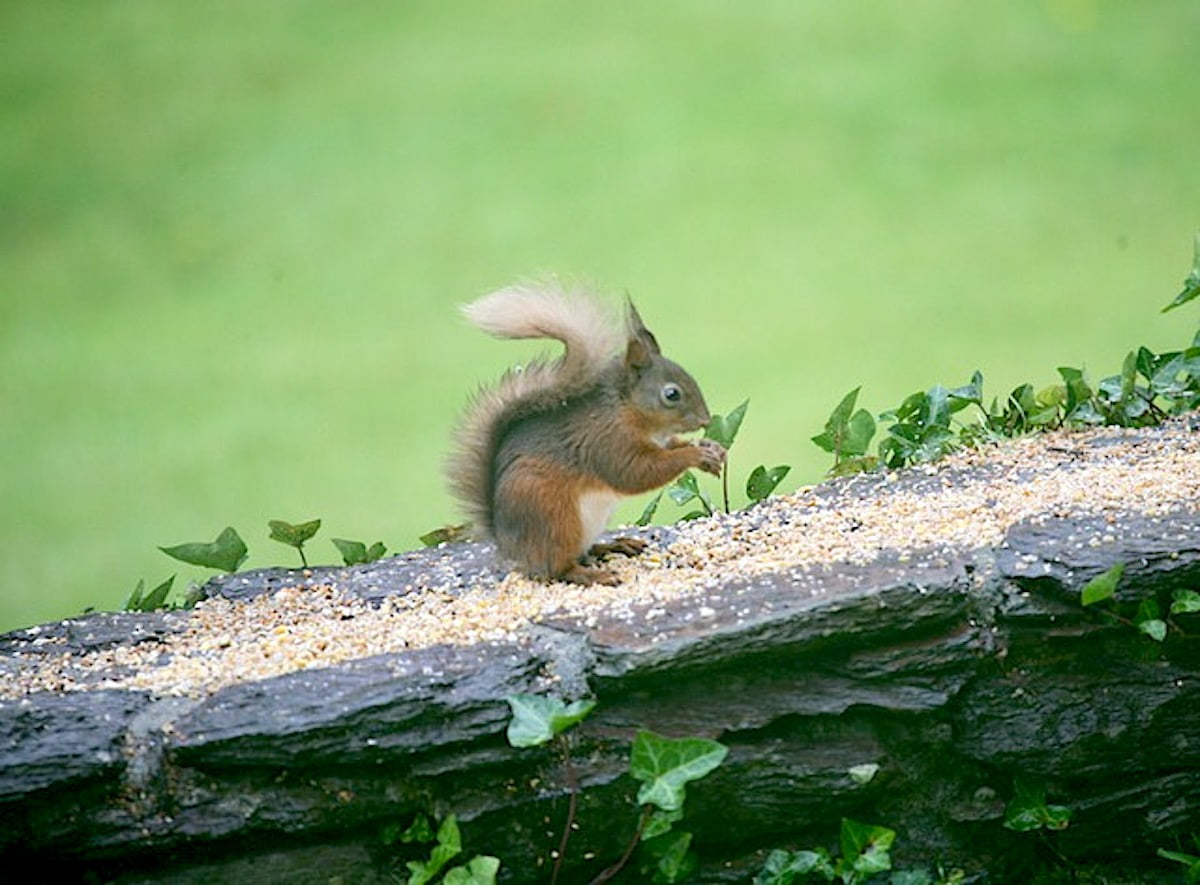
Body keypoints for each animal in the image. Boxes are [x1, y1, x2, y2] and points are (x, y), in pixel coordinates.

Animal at [447, 280, 726, 585]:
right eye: (672, 394)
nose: (705, 419)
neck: (629, 411)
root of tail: (509, 546)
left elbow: (670, 447)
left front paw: (710, 447)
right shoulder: (607, 440)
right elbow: (637, 472)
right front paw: (695, 454)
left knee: (584, 552)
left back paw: (616, 545)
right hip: (555, 519)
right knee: (558, 568)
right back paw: (594, 574)